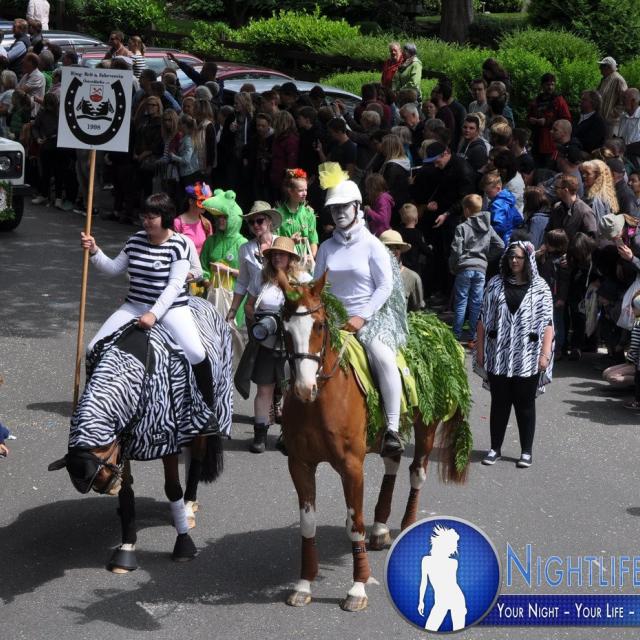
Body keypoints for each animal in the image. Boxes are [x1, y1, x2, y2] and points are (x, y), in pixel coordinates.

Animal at [48, 297, 234, 572]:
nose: (108, 486)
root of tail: (203, 301)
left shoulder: (167, 442)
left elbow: (172, 489)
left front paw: (183, 546)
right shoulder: (125, 440)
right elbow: (128, 493)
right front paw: (126, 548)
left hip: (204, 421)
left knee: (198, 460)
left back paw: (188, 507)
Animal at [277, 271, 471, 612]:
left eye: (319, 325)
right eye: (285, 329)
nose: (303, 388)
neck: (319, 402)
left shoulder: (351, 466)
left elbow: (356, 524)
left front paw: (357, 587)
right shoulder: (300, 464)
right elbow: (307, 524)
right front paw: (303, 584)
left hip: (427, 426)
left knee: (416, 472)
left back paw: (406, 525)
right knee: (392, 461)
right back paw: (380, 528)